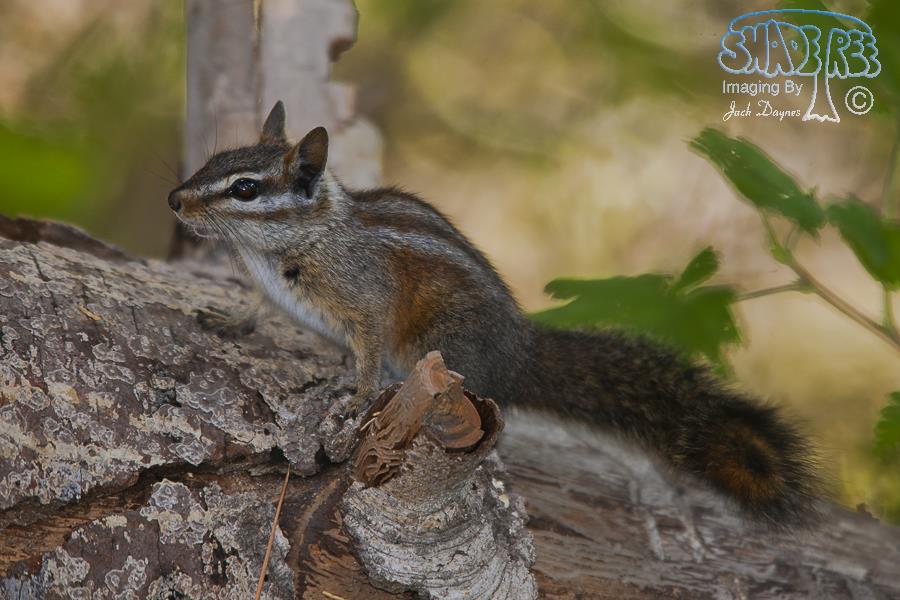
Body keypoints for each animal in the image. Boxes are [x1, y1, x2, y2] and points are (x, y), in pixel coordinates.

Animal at [168, 101, 820, 528]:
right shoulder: (266, 287)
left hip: (438, 343)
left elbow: (368, 349)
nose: (173, 199)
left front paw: (354, 396)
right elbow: (255, 306)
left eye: (246, 188)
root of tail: (521, 351)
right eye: (214, 160)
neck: (286, 245)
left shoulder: (366, 301)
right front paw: (231, 322)